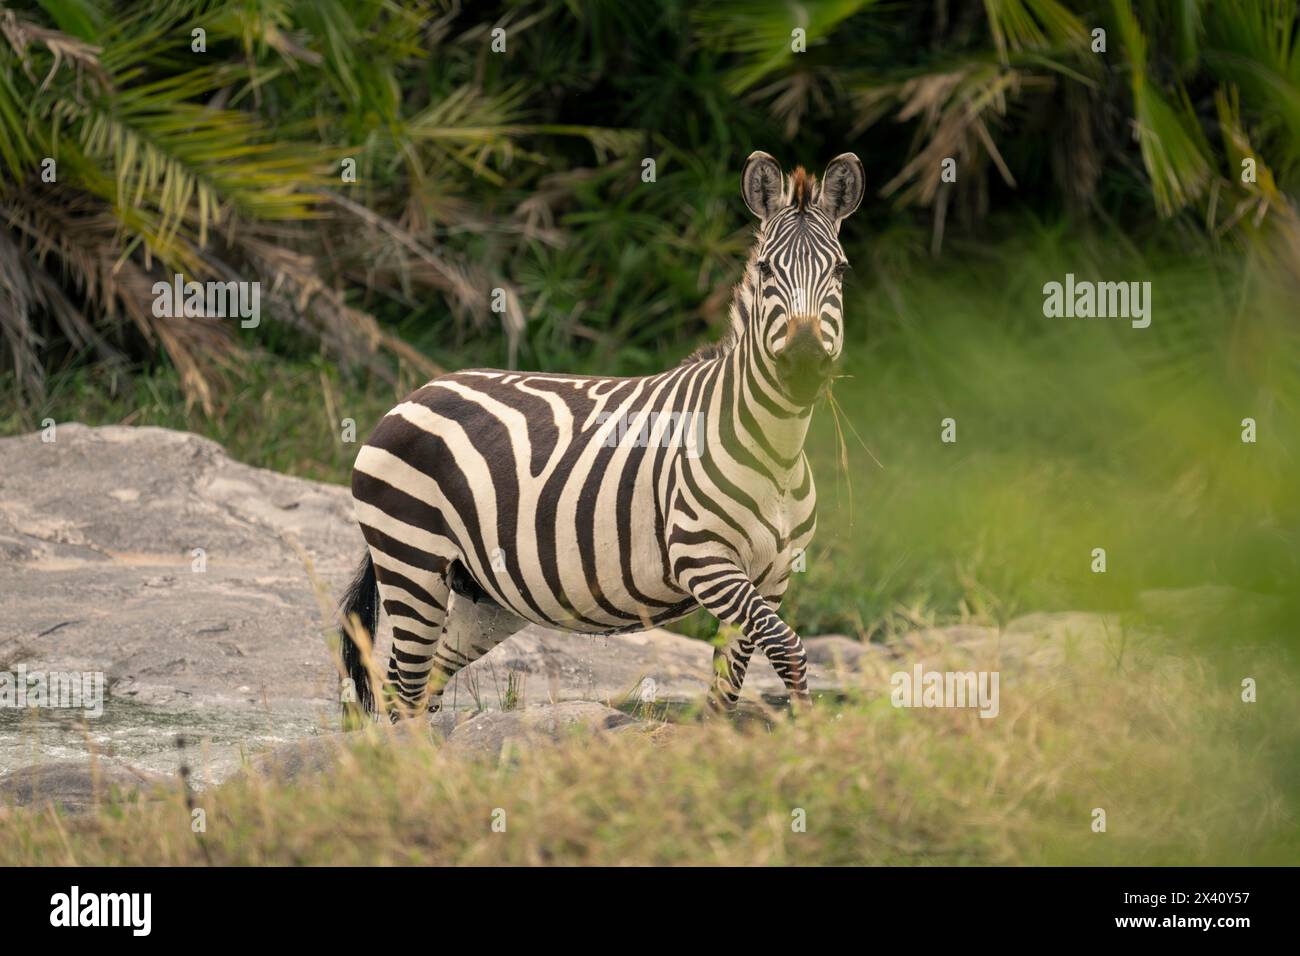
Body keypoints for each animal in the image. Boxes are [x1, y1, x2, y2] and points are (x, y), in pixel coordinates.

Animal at [338, 150, 865, 719]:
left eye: (840, 270)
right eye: (767, 268)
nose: (805, 363)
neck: (776, 452)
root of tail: (418, 391)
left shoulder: (772, 577)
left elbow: (730, 686)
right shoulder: (705, 560)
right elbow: (788, 647)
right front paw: (806, 727)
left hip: (486, 595)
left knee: (422, 685)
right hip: (412, 559)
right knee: (403, 688)